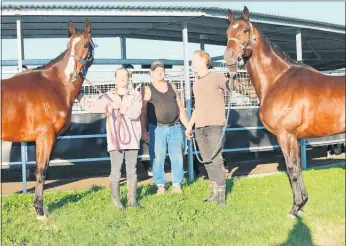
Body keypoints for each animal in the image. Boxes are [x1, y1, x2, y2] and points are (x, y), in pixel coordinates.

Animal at [1, 19, 96, 219]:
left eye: (85, 44)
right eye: (69, 45)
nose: (71, 74)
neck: (54, 86)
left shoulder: (41, 139)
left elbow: (39, 171)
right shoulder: (46, 137)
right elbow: (42, 172)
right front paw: (40, 211)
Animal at [223, 6, 344, 217]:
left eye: (245, 30)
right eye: (227, 32)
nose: (229, 57)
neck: (278, 79)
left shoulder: (285, 134)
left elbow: (292, 168)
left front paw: (295, 207)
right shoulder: (293, 137)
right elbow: (297, 167)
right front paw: (302, 203)